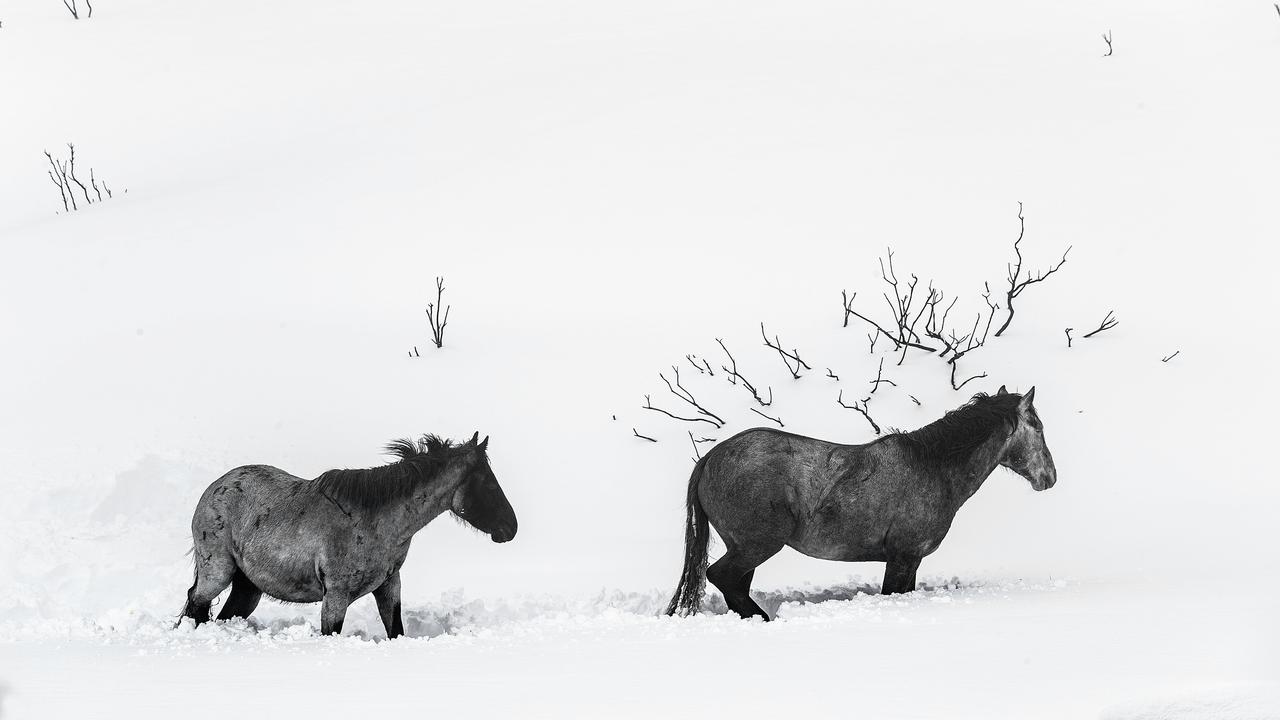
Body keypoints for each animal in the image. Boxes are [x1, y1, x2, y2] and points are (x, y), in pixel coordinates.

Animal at [179, 430, 514, 632]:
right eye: (488, 483)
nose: (511, 527)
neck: (375, 521)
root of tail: (214, 488)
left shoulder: (389, 585)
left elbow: (396, 630)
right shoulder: (336, 596)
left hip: (248, 587)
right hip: (217, 574)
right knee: (194, 604)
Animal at [665, 386, 1054, 617]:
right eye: (1037, 426)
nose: (1049, 477)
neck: (932, 467)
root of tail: (710, 458)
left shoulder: (910, 560)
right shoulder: (902, 556)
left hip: (744, 546)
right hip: (758, 544)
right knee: (721, 577)